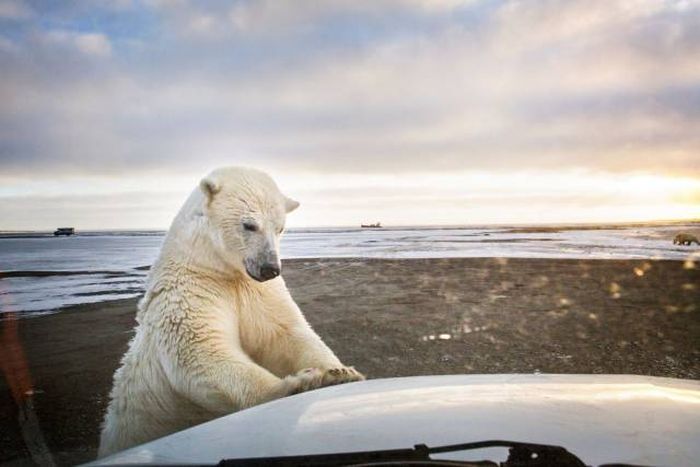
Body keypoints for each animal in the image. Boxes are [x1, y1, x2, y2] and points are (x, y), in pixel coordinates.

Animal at [97, 167, 366, 458]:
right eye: (249, 225)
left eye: (280, 228)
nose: (270, 268)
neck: (215, 267)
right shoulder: (192, 290)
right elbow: (200, 350)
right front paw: (301, 383)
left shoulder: (257, 292)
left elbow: (285, 333)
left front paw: (339, 373)